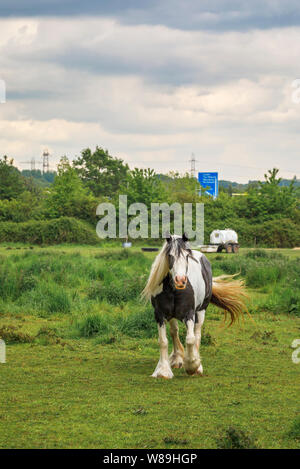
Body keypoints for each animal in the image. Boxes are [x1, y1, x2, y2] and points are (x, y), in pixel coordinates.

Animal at [143, 232, 248, 378]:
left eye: (187, 256)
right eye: (170, 255)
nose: (180, 280)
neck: (173, 290)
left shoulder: (189, 314)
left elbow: (190, 339)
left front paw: (192, 365)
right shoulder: (160, 314)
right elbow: (163, 341)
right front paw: (163, 370)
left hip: (201, 311)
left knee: (197, 334)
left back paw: (197, 365)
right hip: (172, 316)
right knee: (174, 332)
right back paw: (177, 359)